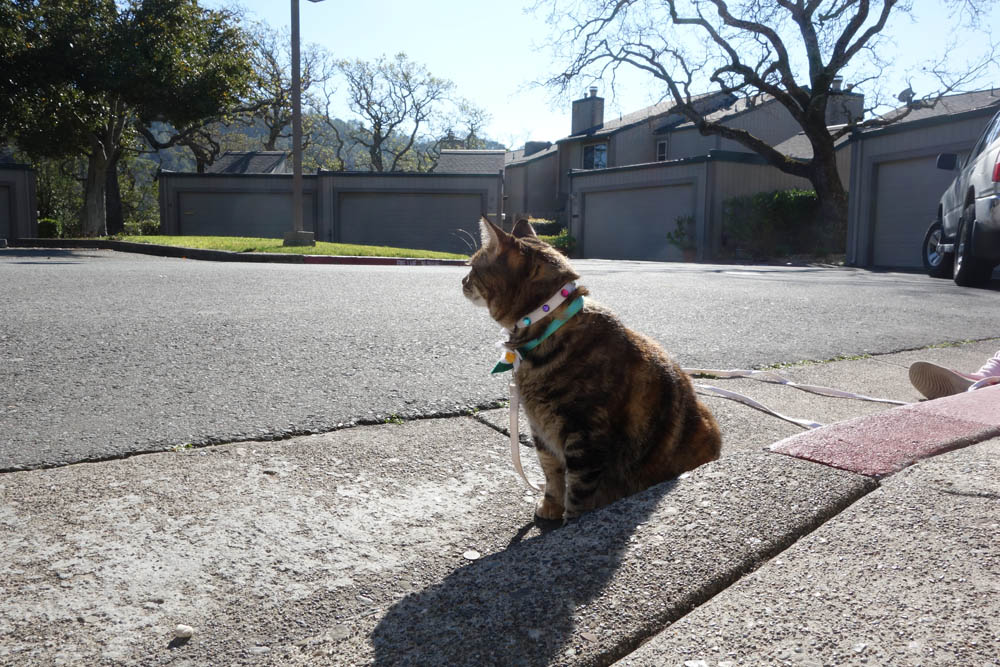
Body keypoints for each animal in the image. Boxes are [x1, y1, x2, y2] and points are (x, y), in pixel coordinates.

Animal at [462, 217, 722, 521]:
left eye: (472, 267)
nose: (462, 281)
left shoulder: (585, 435)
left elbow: (578, 491)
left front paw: (572, 524)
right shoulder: (541, 431)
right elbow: (551, 473)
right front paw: (550, 506)